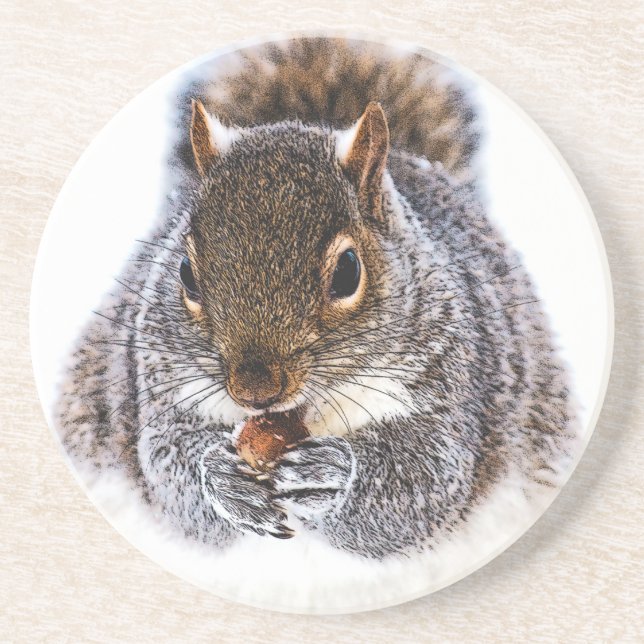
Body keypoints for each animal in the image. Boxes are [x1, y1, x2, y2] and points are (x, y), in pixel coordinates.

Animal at [56, 38, 578, 560]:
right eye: (185, 273)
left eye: (348, 271)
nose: (255, 391)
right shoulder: (161, 384)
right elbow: (169, 470)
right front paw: (220, 479)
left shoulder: (449, 380)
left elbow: (424, 482)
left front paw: (332, 476)